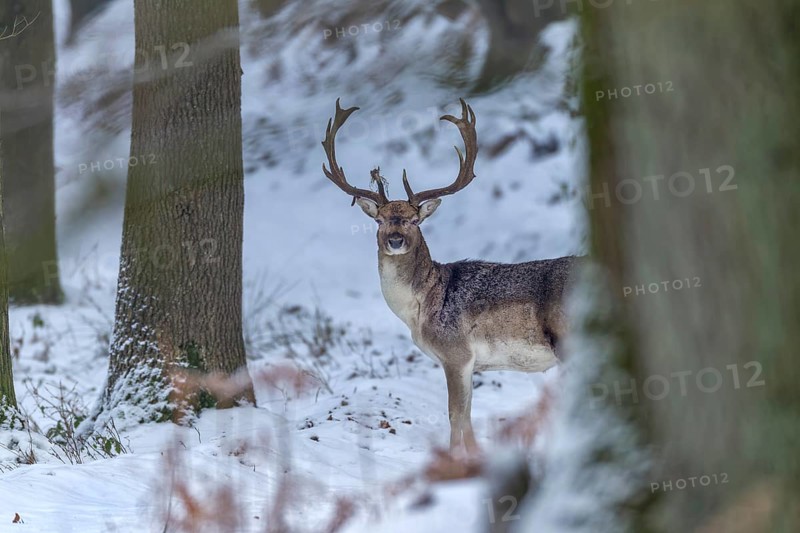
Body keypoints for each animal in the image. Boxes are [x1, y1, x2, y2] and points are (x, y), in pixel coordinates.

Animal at [321, 98, 577, 453]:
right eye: (380, 220)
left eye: (415, 220)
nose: (395, 240)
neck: (420, 308)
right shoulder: (469, 364)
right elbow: (467, 417)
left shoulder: (456, 353)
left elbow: (455, 415)